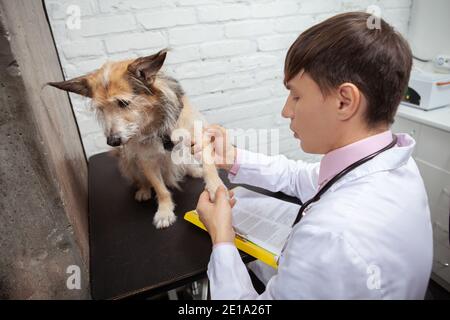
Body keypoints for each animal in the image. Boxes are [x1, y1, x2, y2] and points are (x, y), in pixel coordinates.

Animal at [48, 48, 227, 229]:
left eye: (123, 103)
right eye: (101, 109)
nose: (112, 141)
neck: (156, 125)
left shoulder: (198, 136)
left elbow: (209, 167)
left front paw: (216, 188)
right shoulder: (146, 161)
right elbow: (160, 189)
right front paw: (164, 211)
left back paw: (194, 170)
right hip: (128, 161)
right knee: (141, 180)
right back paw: (144, 190)